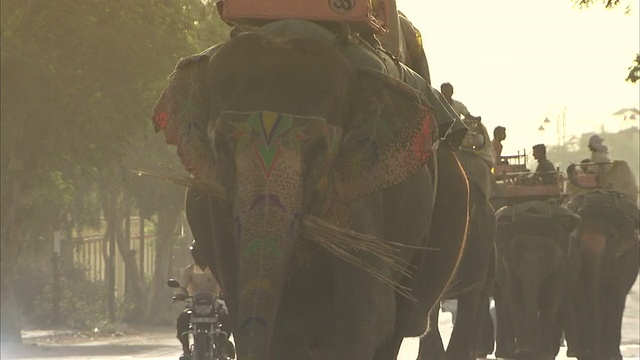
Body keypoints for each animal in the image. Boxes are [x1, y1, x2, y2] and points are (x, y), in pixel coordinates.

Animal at [151, 20, 470, 360]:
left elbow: (368, 315)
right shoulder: (217, 207)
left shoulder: (362, 197)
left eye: (320, 149)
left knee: (398, 320)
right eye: (221, 145)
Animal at [492, 201, 576, 358]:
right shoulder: (508, 264)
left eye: (549, 257)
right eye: (516, 257)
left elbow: (551, 297)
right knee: (502, 301)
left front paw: (544, 353)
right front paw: (524, 351)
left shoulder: (560, 264)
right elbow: (514, 297)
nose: (533, 349)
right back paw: (506, 353)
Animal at [568, 190, 636, 358]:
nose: (592, 350)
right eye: (576, 237)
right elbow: (580, 294)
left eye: (612, 236)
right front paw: (585, 353)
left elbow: (616, 293)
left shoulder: (624, 259)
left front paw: (612, 355)